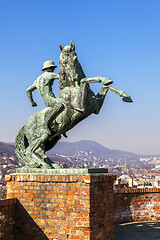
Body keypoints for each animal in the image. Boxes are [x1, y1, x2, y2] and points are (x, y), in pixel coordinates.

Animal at [15, 40, 132, 169]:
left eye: (75, 58)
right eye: (64, 62)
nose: (74, 77)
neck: (72, 86)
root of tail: (24, 126)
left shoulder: (96, 108)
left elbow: (106, 87)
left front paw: (125, 96)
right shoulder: (81, 106)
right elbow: (85, 80)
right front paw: (104, 80)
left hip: (53, 138)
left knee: (40, 151)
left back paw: (52, 165)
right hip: (43, 135)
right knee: (29, 151)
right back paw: (44, 165)